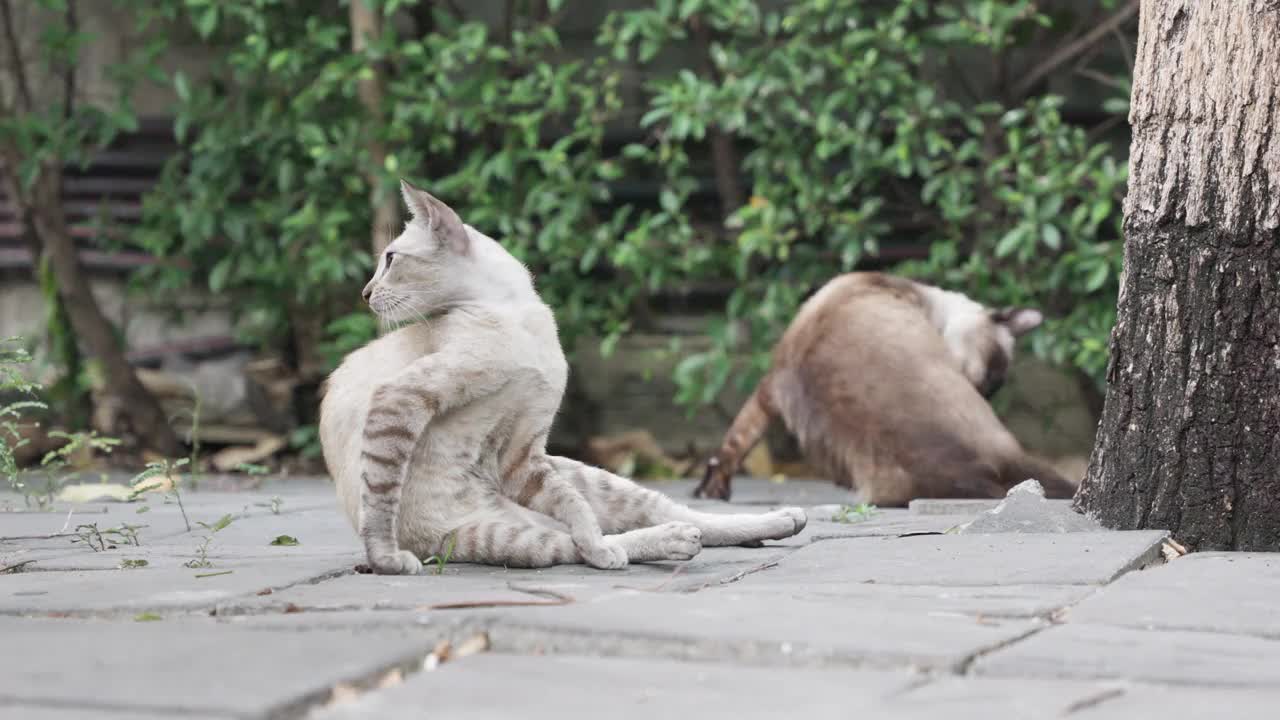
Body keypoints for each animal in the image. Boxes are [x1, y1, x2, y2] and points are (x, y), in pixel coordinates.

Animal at [317, 181, 798, 573]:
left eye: (389, 259)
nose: (365, 293)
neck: (518, 315)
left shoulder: (522, 454)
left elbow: (573, 507)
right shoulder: (404, 398)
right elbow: (381, 500)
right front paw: (386, 562)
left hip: (585, 478)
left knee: (670, 513)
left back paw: (782, 519)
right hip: (505, 535)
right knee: (578, 545)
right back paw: (670, 543)